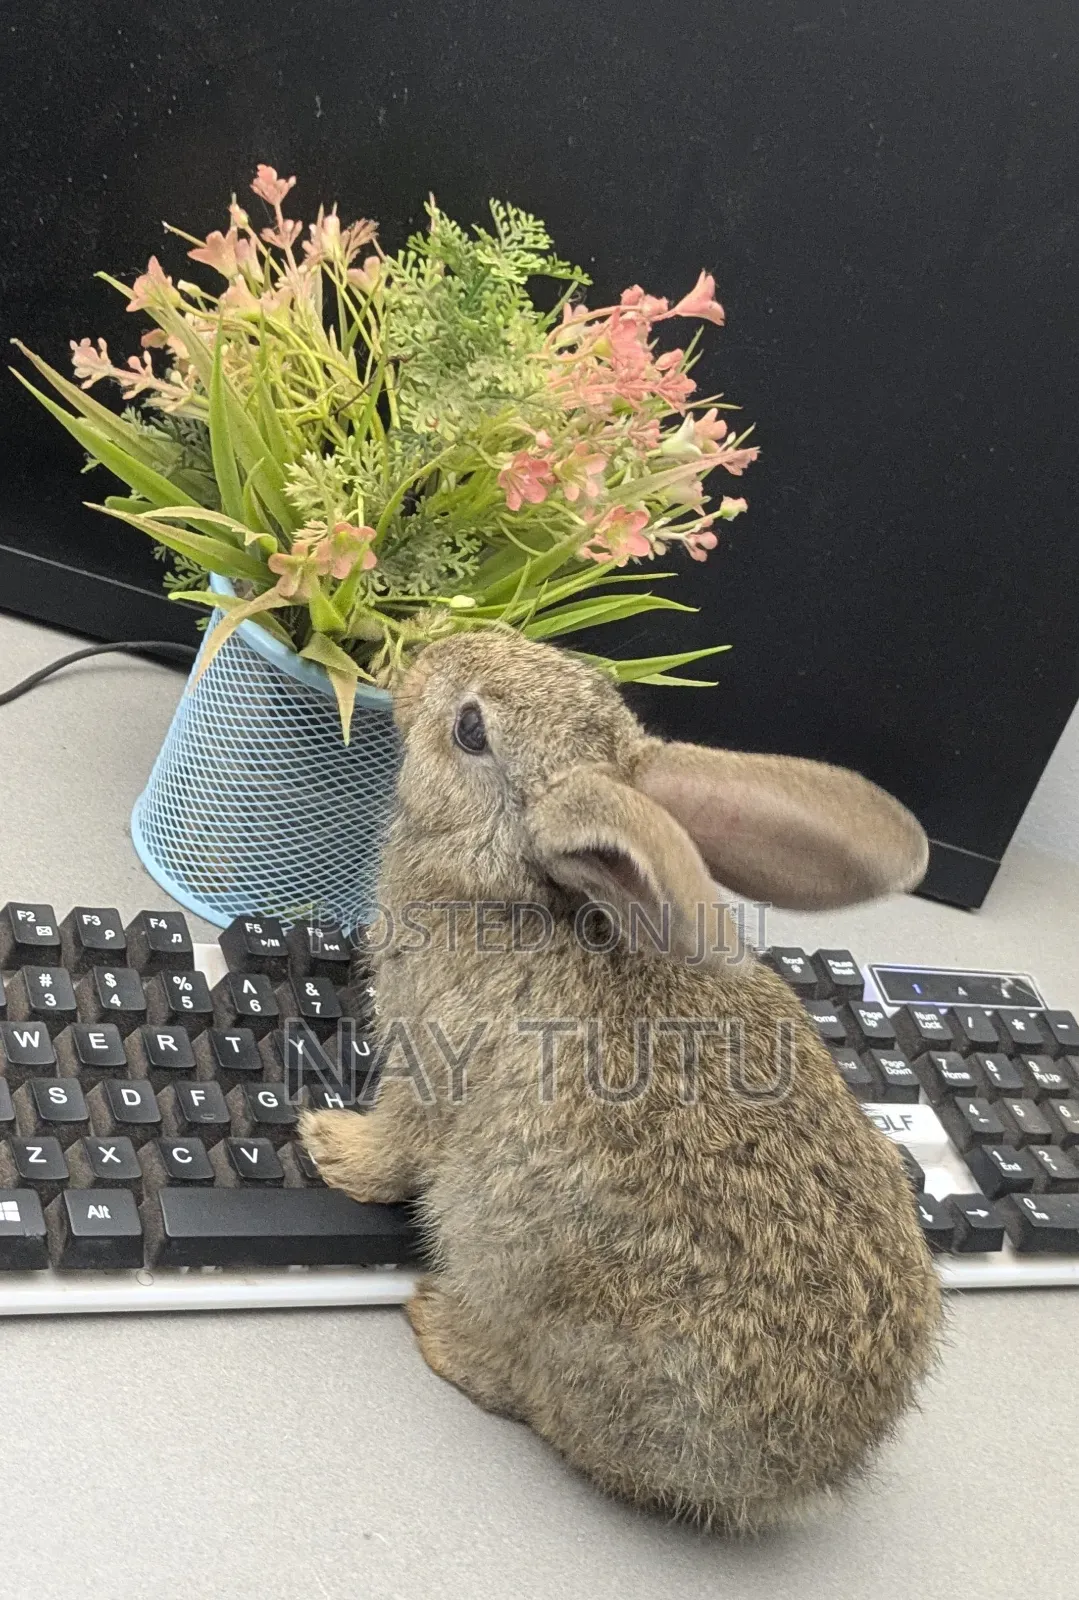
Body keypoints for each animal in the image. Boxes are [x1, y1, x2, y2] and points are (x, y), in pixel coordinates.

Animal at [301, 629, 942, 1534]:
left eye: (471, 730)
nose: (431, 649)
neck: (515, 888)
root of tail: (797, 1478)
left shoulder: (429, 1064)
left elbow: (398, 1143)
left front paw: (328, 1145)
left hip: (530, 1283)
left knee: (522, 1387)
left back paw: (437, 1327)